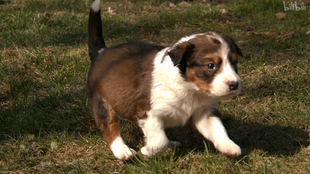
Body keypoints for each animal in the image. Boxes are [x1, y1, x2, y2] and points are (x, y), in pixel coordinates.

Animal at [86, 0, 242, 160]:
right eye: (211, 65)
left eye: (234, 63)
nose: (234, 84)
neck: (189, 88)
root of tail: (101, 52)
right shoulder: (148, 113)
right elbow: (159, 140)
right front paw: (147, 150)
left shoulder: (204, 111)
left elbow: (218, 129)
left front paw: (229, 146)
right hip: (102, 102)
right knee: (109, 127)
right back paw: (123, 151)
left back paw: (171, 144)